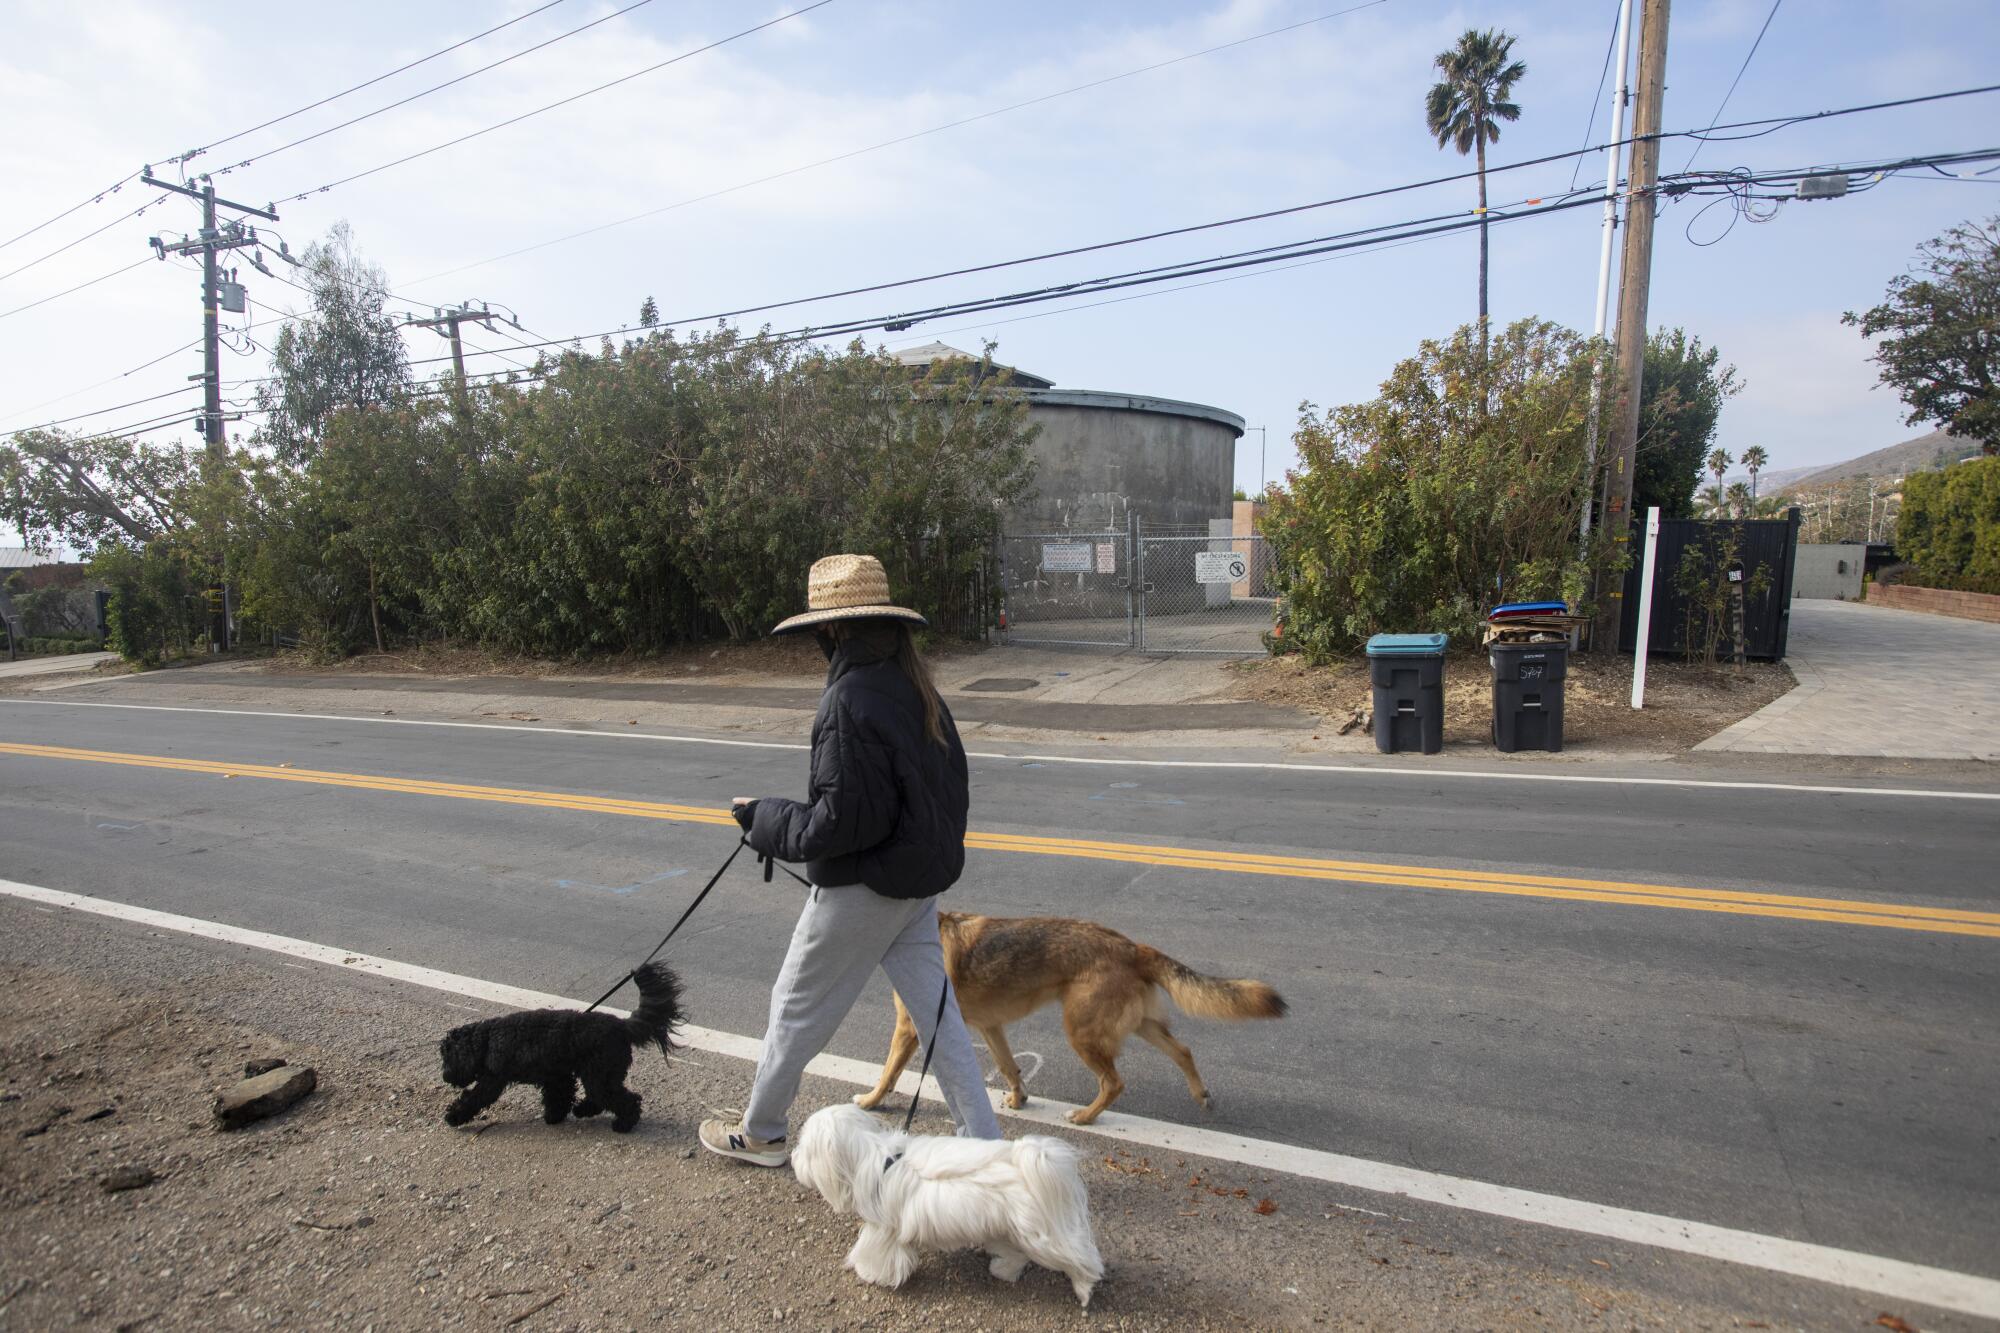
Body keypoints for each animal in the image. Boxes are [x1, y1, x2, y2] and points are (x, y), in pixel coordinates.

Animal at [438, 960, 688, 1128]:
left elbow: (472, 1099)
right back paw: (584, 1110)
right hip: (602, 1073)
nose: (445, 1076)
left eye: (447, 1058)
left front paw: (453, 1116)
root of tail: (621, 1025)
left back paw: (623, 1124)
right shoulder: (556, 1075)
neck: (487, 1040)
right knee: (603, 1097)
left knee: (622, 1098)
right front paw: (554, 1116)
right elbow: (559, 1095)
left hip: (599, 1073)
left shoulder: (492, 1081)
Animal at [792, 1096, 1112, 1304]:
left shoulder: (883, 1230)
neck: (874, 1157)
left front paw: (872, 1274)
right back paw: (1003, 1271)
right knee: (1017, 1255)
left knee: (1080, 1256)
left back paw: (1084, 1289)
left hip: (1041, 1237)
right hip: (1008, 1228)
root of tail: (1028, 1163)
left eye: (804, 1147)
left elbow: (877, 1253)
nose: (794, 1158)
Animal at [852, 908, 1288, 1112]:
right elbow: (1010, 1068)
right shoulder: (992, 1029)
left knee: (1113, 1083)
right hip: (1141, 1027)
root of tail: (1133, 947)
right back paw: (1201, 1095)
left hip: (1082, 1034)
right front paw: (1019, 1099)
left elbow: (888, 1074)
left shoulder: (909, 1029)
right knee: (1183, 1052)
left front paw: (872, 1102)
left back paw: (1083, 1117)